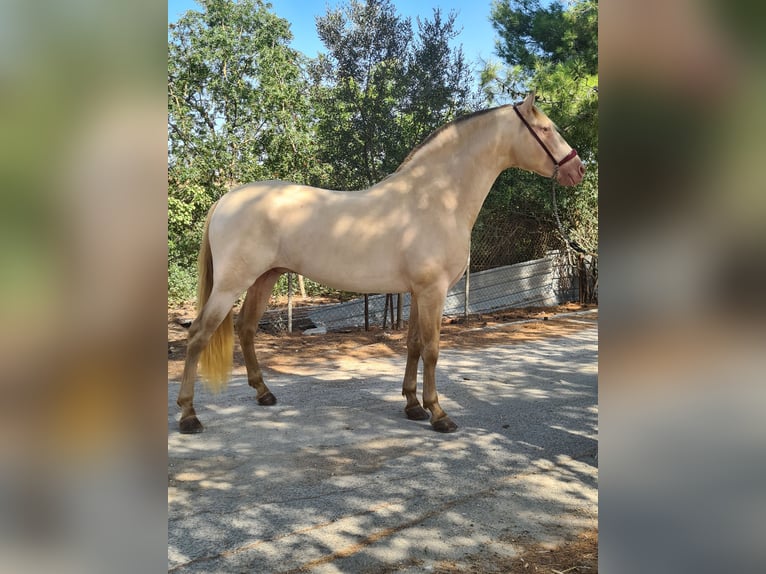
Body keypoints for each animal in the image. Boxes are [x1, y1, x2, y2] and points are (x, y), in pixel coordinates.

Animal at [178, 92, 588, 434]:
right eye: (546, 129)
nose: (578, 170)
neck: (436, 199)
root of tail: (225, 200)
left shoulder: (418, 292)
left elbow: (413, 345)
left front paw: (413, 406)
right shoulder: (433, 291)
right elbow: (432, 349)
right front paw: (439, 414)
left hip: (265, 277)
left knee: (246, 329)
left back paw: (263, 393)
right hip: (231, 284)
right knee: (198, 335)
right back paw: (188, 415)